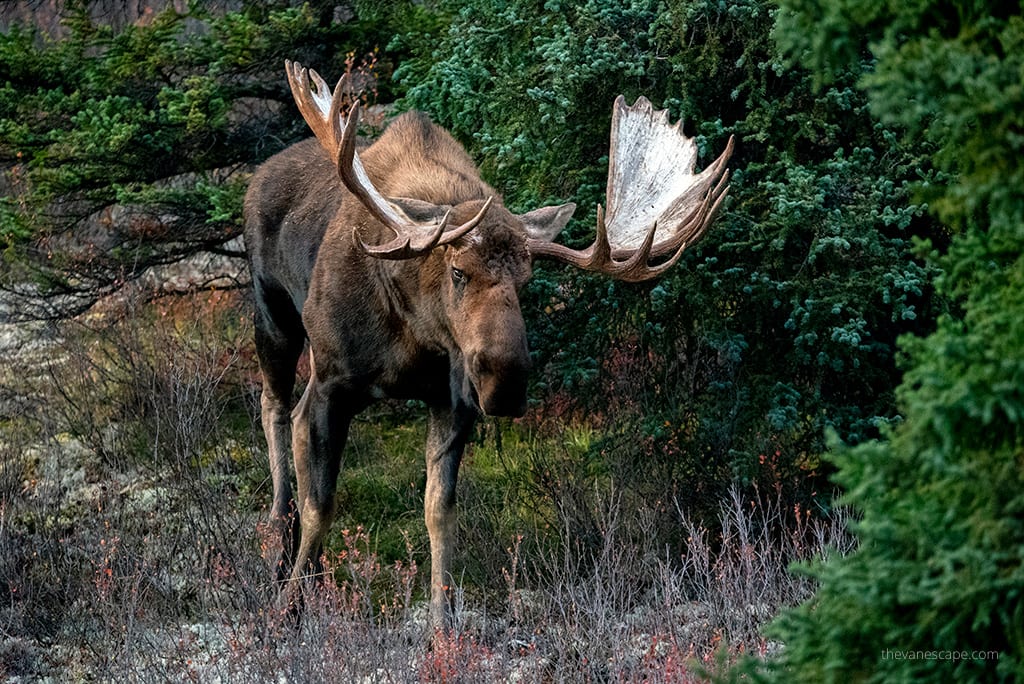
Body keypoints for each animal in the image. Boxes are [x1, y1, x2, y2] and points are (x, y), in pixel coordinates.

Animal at [243, 61, 733, 626]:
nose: (506, 383)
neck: (414, 332)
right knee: (276, 409)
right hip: (273, 314)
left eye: (526, 280)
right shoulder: (332, 383)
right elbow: (320, 504)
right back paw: (276, 542)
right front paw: (289, 607)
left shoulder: (452, 401)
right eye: (458, 271)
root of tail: (258, 175)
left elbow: (439, 511)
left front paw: (441, 625)